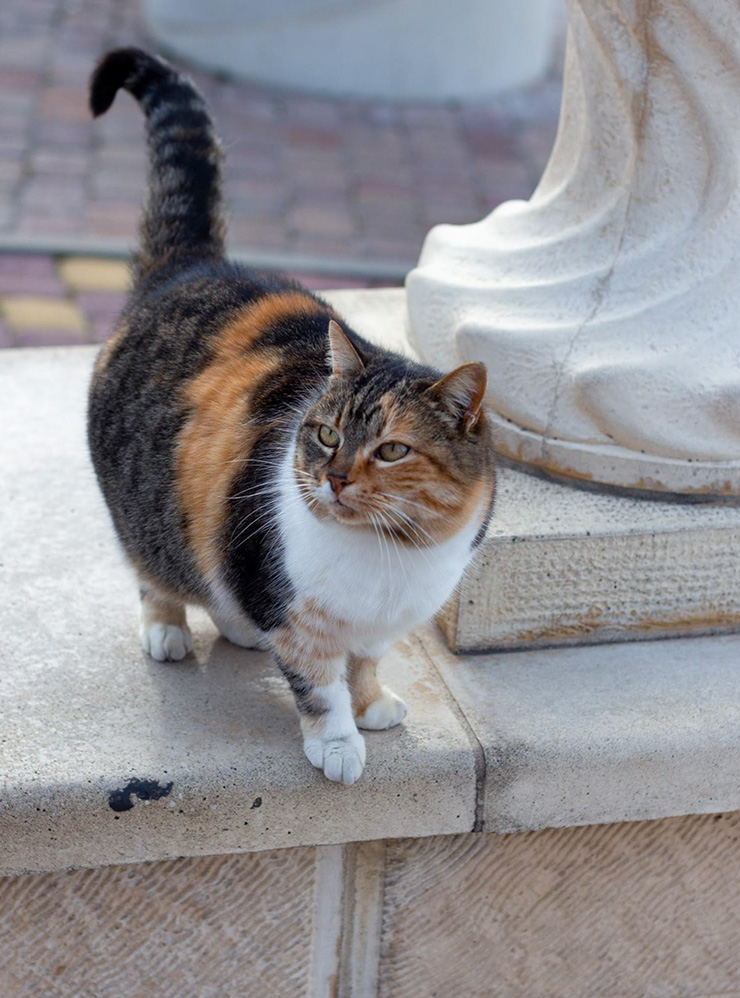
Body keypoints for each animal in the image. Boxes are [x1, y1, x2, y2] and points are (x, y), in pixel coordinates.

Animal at [86, 50, 494, 788]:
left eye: (391, 450)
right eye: (327, 435)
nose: (334, 479)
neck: (391, 557)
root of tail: (192, 263)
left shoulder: (379, 625)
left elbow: (365, 662)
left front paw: (373, 703)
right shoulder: (290, 604)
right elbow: (319, 683)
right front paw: (337, 743)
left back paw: (238, 626)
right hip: (143, 508)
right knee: (153, 567)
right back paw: (167, 628)